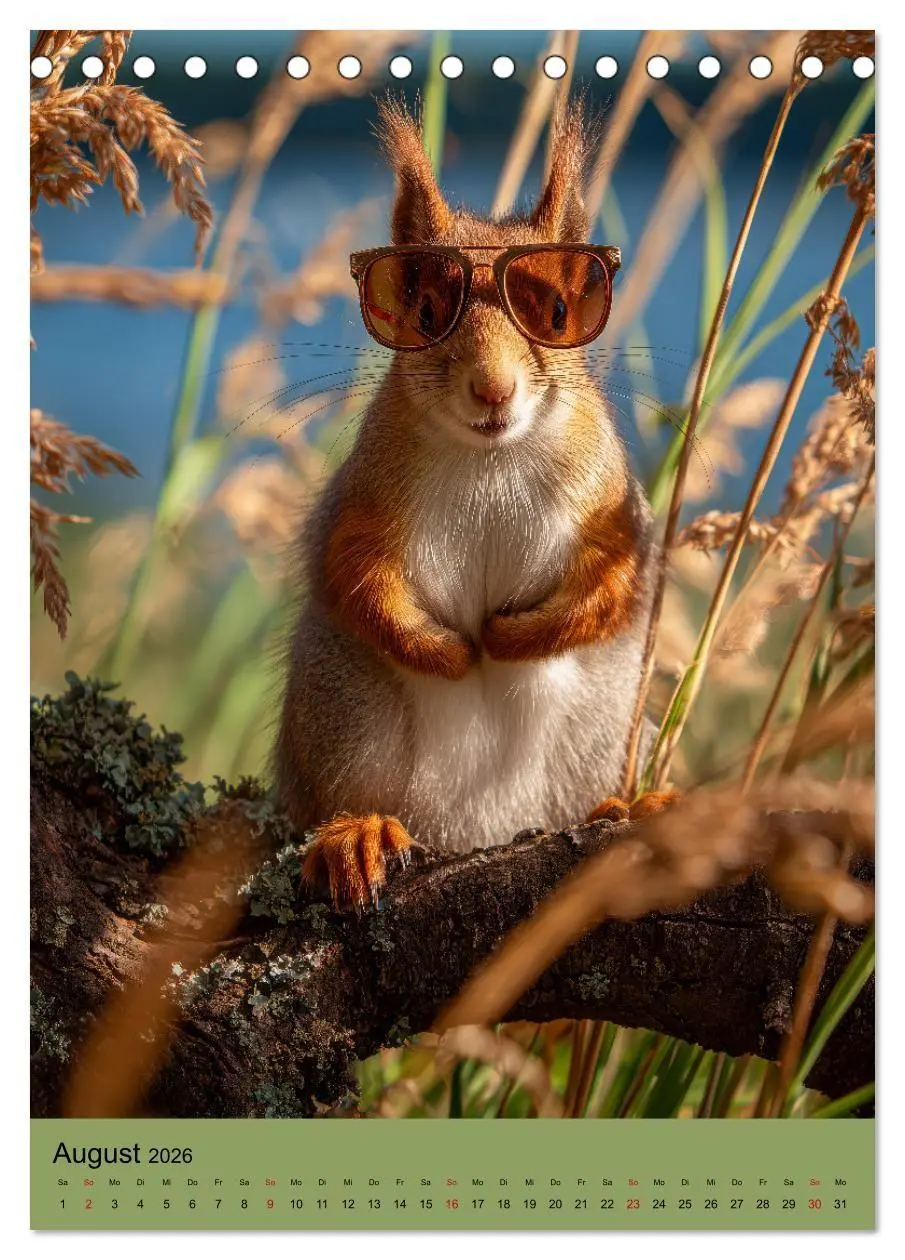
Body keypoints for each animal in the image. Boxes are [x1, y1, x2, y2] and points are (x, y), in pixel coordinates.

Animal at [275, 99, 675, 909]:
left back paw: (634, 805)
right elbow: (353, 576)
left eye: (559, 310)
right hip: (340, 718)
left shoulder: (617, 513)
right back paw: (356, 836)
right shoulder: (363, 502)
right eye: (424, 309)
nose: (493, 390)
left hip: (606, 729)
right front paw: (449, 650)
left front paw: (509, 638)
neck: (492, 459)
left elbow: (617, 589)